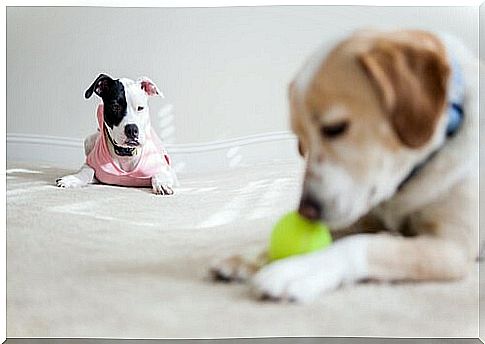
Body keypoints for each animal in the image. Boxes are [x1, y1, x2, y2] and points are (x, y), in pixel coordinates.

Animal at [210, 30, 478, 302]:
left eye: (335, 128)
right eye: (301, 142)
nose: (305, 212)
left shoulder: (452, 247)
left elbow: (360, 244)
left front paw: (300, 269)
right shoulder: (360, 218)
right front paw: (251, 256)